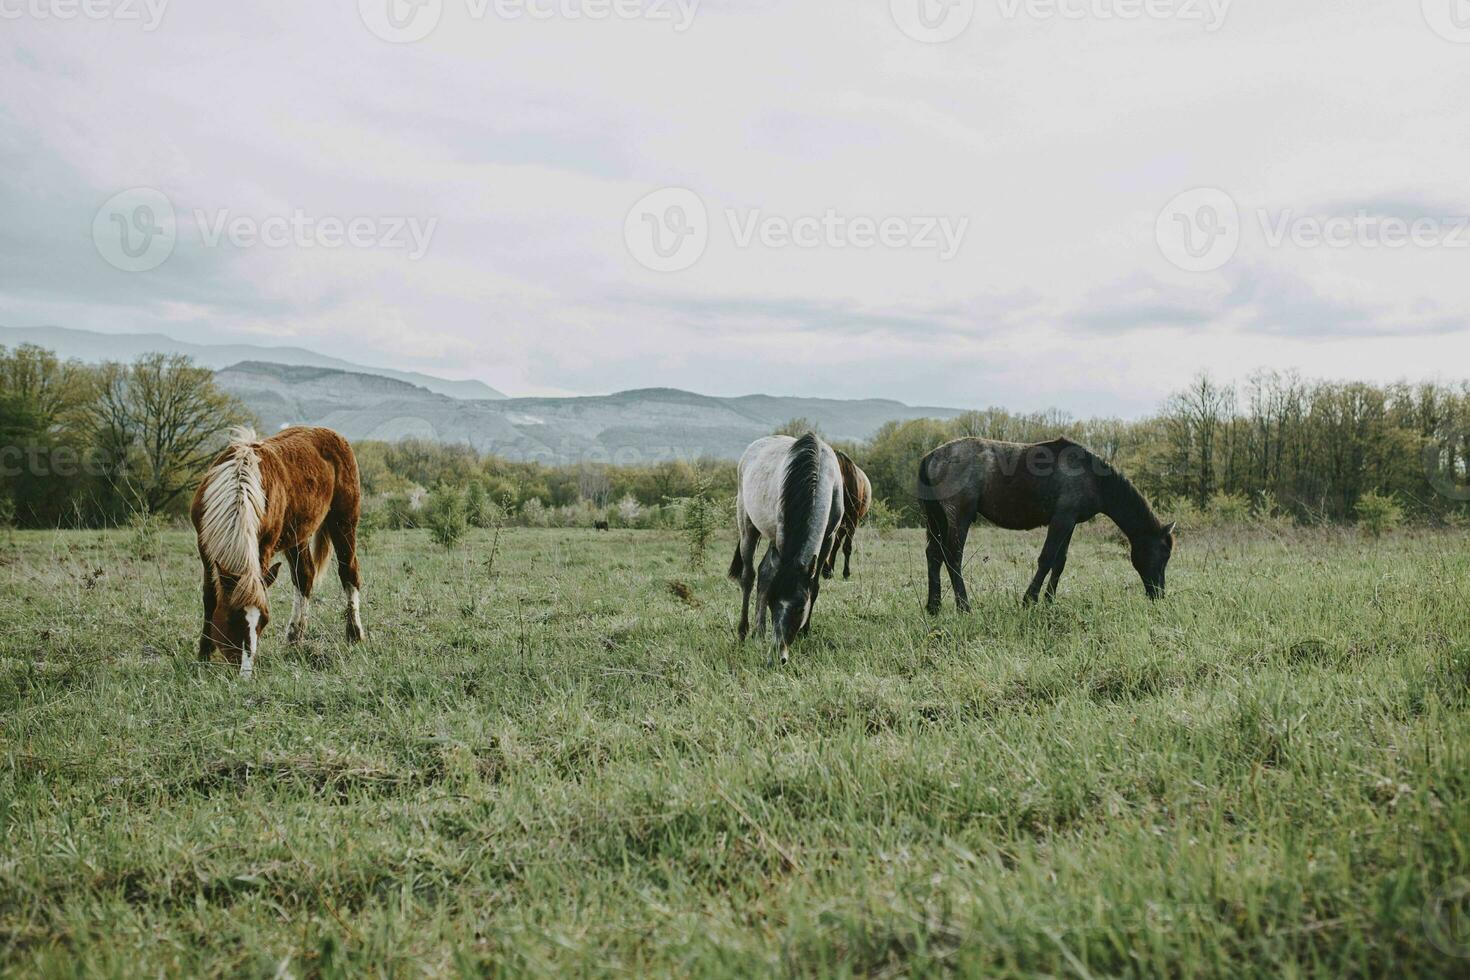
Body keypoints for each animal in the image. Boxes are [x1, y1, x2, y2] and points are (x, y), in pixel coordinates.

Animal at [191, 426, 366, 678]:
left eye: (263, 621)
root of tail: (332, 435)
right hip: (298, 535)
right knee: (304, 576)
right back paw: (294, 638)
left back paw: (354, 633)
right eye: (232, 619)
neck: (239, 486)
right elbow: (210, 597)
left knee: (348, 572)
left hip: (344, 521)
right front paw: (203, 654)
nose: (244, 672)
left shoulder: (263, 548)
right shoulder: (205, 549)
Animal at [723, 431, 840, 664]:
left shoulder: (829, 539)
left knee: (762, 572)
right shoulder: (781, 537)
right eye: (771, 602)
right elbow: (767, 579)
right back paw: (746, 631)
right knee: (750, 577)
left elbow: (814, 585)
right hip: (747, 526)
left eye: (800, 607)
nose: (777, 657)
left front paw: (806, 630)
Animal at [917, 437, 1170, 614]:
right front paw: (1030, 599)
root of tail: (930, 457)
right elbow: (1047, 558)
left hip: (937, 520)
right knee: (953, 557)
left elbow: (1060, 562)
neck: (1093, 478)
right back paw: (964, 607)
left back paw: (934, 606)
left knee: (934, 555)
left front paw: (1049, 600)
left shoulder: (1070, 522)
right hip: (960, 517)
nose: (1159, 594)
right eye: (1163, 554)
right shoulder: (1061, 519)